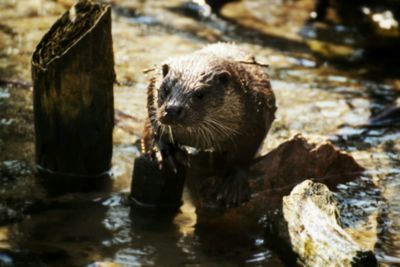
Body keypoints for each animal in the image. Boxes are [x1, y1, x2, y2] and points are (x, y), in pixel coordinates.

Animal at [140, 43, 276, 208]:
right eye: (165, 89)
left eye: (200, 94)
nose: (172, 109)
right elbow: (156, 129)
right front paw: (171, 152)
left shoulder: (255, 124)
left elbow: (243, 157)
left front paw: (233, 185)